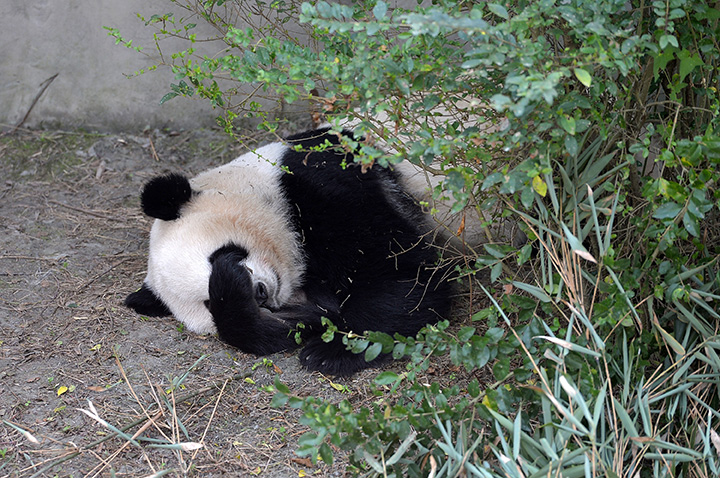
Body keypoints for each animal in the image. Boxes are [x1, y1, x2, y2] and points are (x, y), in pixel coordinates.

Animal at [125, 128, 452, 376]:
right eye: (208, 303)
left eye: (219, 254)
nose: (259, 293)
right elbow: (292, 324)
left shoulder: (326, 184)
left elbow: (397, 267)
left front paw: (333, 351)